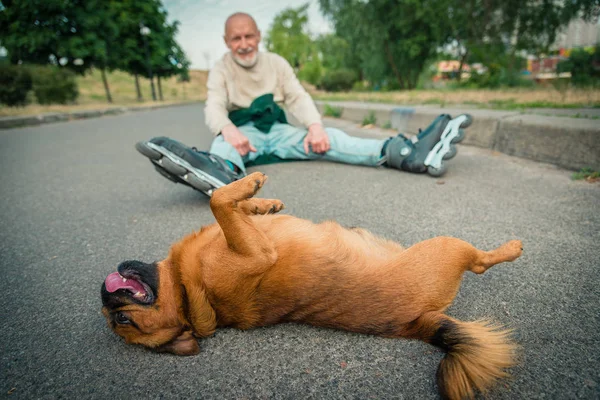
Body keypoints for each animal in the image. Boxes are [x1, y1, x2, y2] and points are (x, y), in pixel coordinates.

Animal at [101, 173, 524, 400]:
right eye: (122, 321)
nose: (106, 294)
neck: (188, 293)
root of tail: (414, 324)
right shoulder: (255, 252)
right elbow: (219, 201)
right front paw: (249, 185)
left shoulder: (245, 234)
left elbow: (231, 207)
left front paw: (262, 202)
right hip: (447, 246)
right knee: (480, 262)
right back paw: (510, 248)